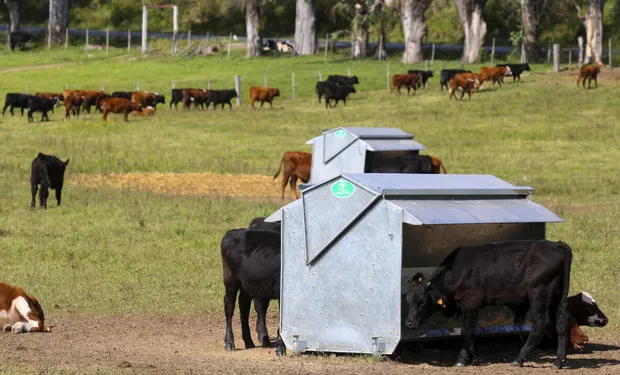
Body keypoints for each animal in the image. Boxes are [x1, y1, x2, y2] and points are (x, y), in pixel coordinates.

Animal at [220, 223, 286, 358]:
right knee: (229, 306)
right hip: (230, 280)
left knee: (244, 306)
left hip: (247, 284)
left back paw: (249, 341)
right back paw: (229, 342)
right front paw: (280, 347)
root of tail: (233, 231)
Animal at [406, 239, 572, 368]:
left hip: (540, 295)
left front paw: (461, 360)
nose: (408, 323)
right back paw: (559, 362)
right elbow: (471, 331)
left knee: (540, 324)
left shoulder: (470, 304)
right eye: (408, 300)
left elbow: (466, 331)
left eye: (422, 302)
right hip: (558, 298)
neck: (457, 270)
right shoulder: (472, 308)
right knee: (561, 323)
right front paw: (470, 358)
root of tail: (556, 244)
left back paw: (518, 359)